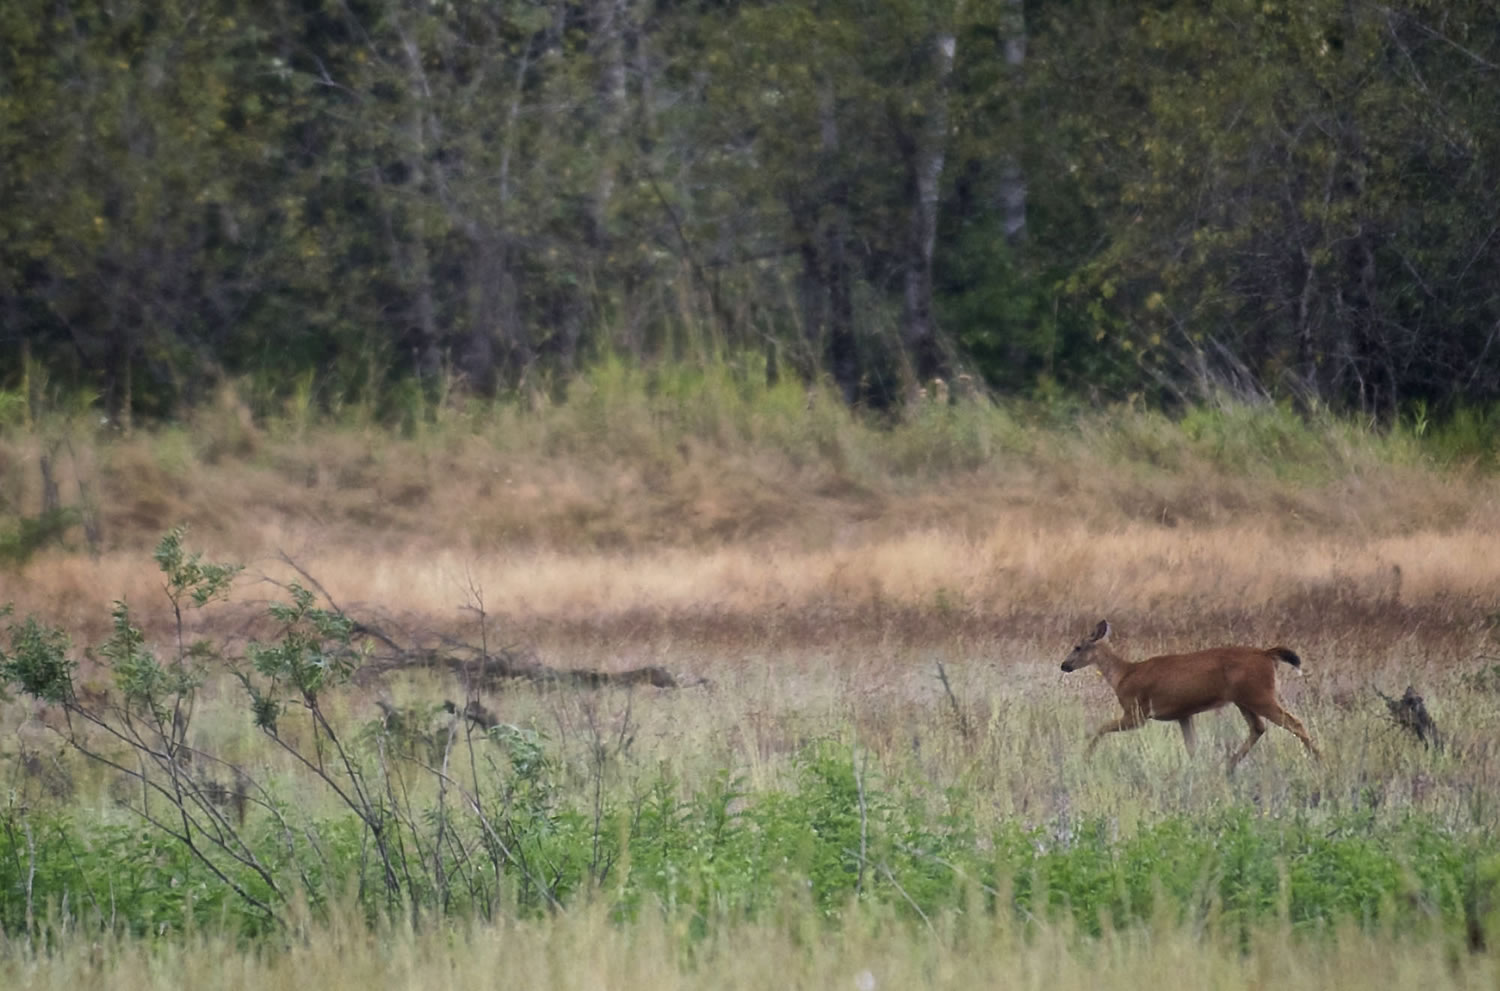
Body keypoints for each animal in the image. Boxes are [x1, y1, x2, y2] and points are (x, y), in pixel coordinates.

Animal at [1062, 617, 1320, 773]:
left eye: (1077, 647)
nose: (1064, 665)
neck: (1123, 674)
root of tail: (1267, 654)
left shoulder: (1137, 712)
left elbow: (1100, 727)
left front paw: (1085, 756)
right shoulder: (1183, 714)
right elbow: (1192, 746)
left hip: (1259, 694)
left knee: (1294, 723)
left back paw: (1319, 760)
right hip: (1244, 699)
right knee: (1258, 728)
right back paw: (1228, 766)